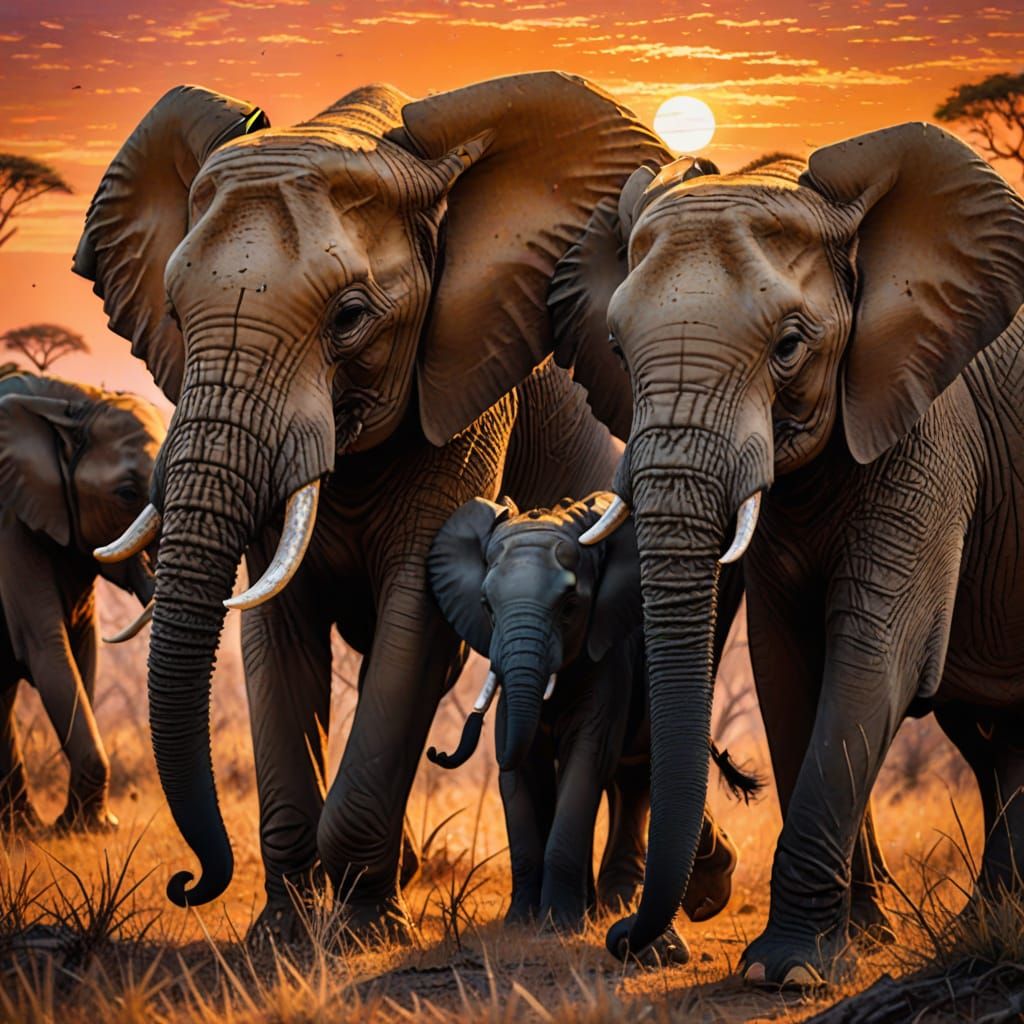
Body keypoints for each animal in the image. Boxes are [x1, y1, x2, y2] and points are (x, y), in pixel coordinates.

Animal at [0, 365, 164, 832]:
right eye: (126, 493)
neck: (72, 398)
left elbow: (83, 649)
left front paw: (91, 824)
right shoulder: (8, 522)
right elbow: (46, 646)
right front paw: (85, 828)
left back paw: (20, 826)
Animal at [73, 73, 668, 939]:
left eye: (349, 318)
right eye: (178, 316)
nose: (186, 883)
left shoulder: (466, 392)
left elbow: (412, 620)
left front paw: (363, 929)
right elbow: (275, 627)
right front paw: (282, 935)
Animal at [427, 490, 755, 948]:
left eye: (569, 607)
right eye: (486, 607)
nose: (437, 752)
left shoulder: (609, 658)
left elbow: (585, 761)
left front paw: (559, 927)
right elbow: (523, 770)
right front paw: (520, 925)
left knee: (635, 778)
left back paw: (628, 905)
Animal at [550, 123, 1024, 983]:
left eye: (790, 346)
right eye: (615, 347)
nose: (626, 939)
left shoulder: (932, 429)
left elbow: (876, 653)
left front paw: (788, 969)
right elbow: (784, 662)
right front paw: (851, 939)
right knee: (993, 741)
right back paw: (987, 918)